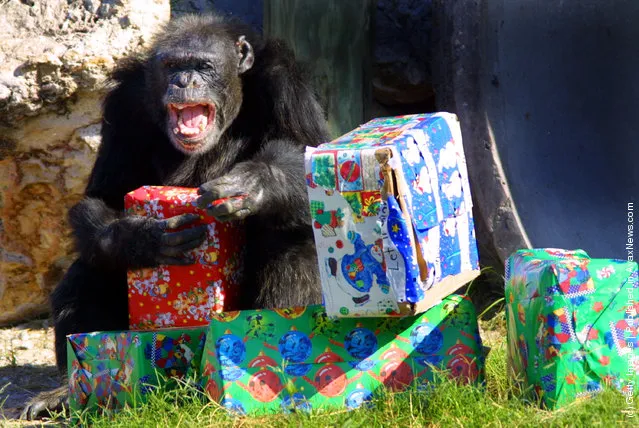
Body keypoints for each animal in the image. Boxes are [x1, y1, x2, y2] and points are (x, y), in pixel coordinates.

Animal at [22, 14, 328, 422]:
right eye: (171, 66)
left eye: (203, 66)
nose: (184, 81)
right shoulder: (123, 106)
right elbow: (103, 195)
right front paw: (138, 238)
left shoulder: (288, 88)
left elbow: (313, 169)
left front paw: (256, 183)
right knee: (90, 268)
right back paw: (65, 393)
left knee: (291, 247)